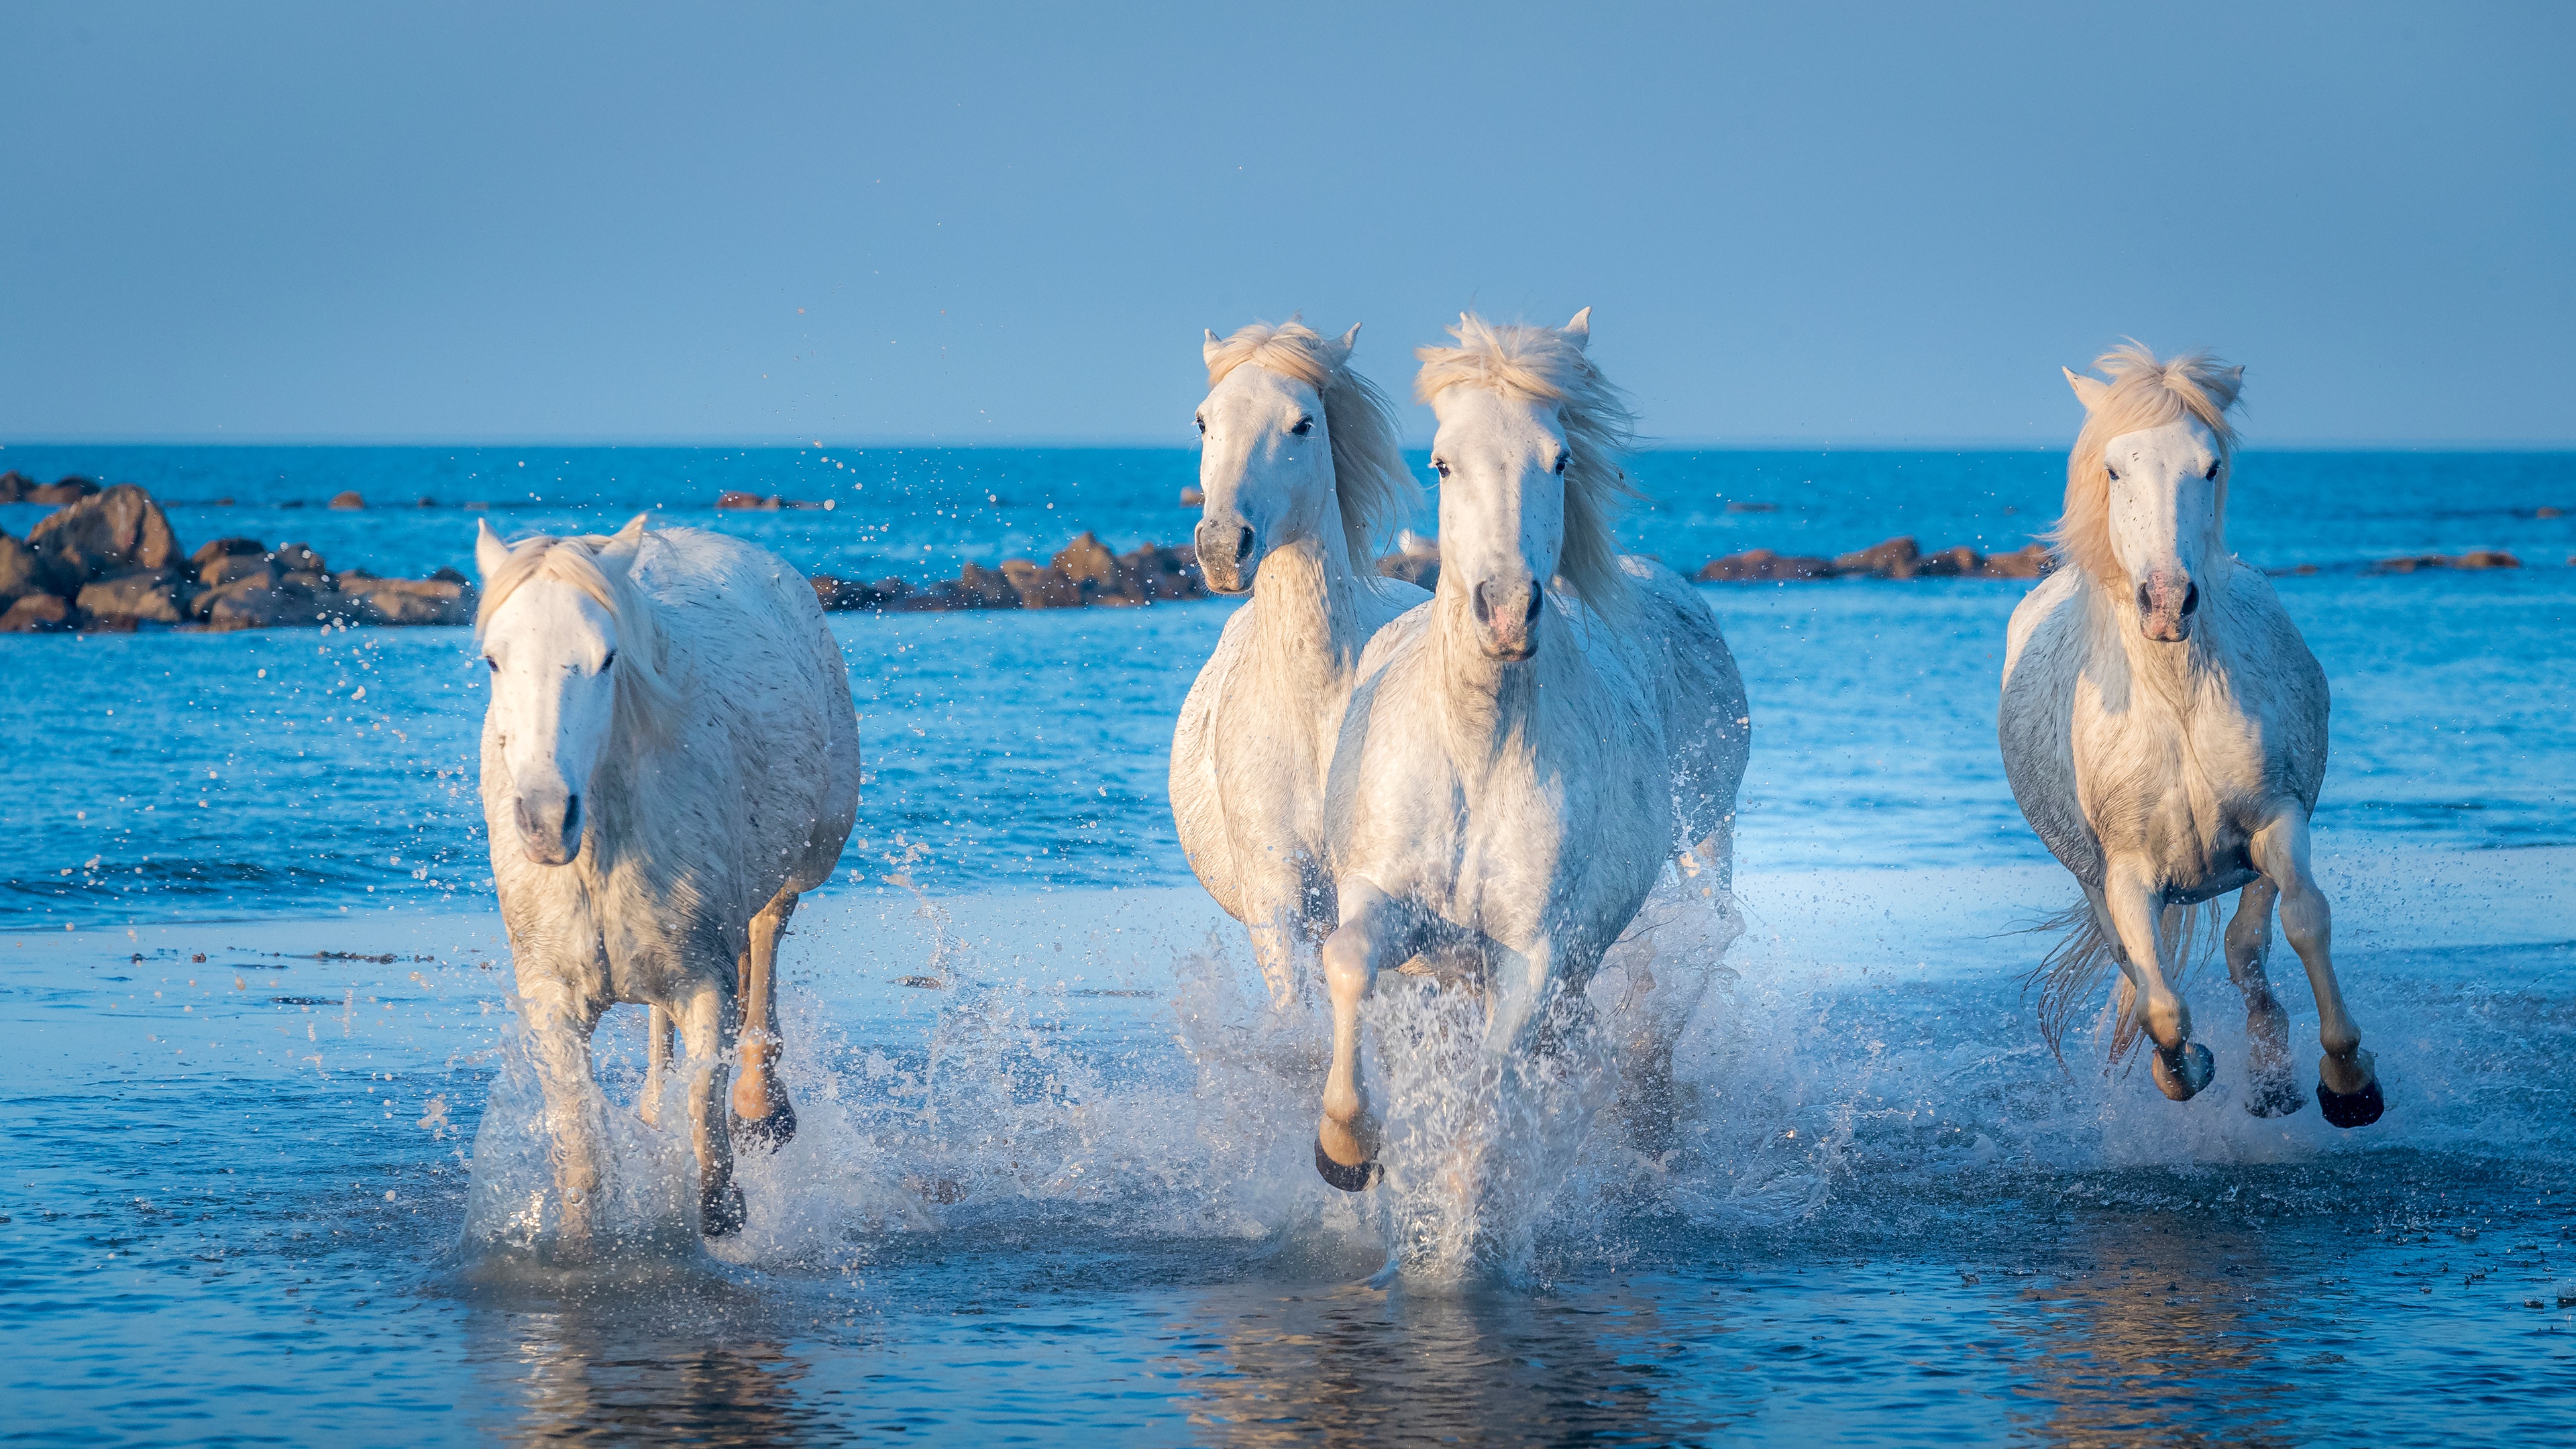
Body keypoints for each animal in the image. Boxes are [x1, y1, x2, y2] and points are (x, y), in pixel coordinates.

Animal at [473, 514, 863, 1253]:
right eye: (493, 660)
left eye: (607, 658)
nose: (545, 819)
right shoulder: (551, 995)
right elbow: (581, 1149)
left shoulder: (705, 977)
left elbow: (706, 1124)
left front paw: (727, 1201)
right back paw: (653, 1108)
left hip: (810, 852)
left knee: (767, 934)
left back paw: (762, 1107)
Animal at [1311, 310, 1750, 1191]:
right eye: (1442, 462)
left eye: (1560, 458)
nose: (1508, 611)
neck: (1477, 755)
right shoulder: (1388, 900)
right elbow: (1346, 959)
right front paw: (1346, 1146)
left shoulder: (1532, 955)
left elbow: (1489, 1095)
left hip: (1705, 845)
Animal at [1999, 344, 2383, 1127]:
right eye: (2115, 469)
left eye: (2209, 467)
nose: (2168, 602)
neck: (2175, 701)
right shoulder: (2124, 874)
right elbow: (2162, 1006)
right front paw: (2186, 1070)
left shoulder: (2278, 820)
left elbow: (2305, 921)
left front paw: (2347, 1081)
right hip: (2092, 880)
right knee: (2143, 967)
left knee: (2246, 948)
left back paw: (2272, 1079)